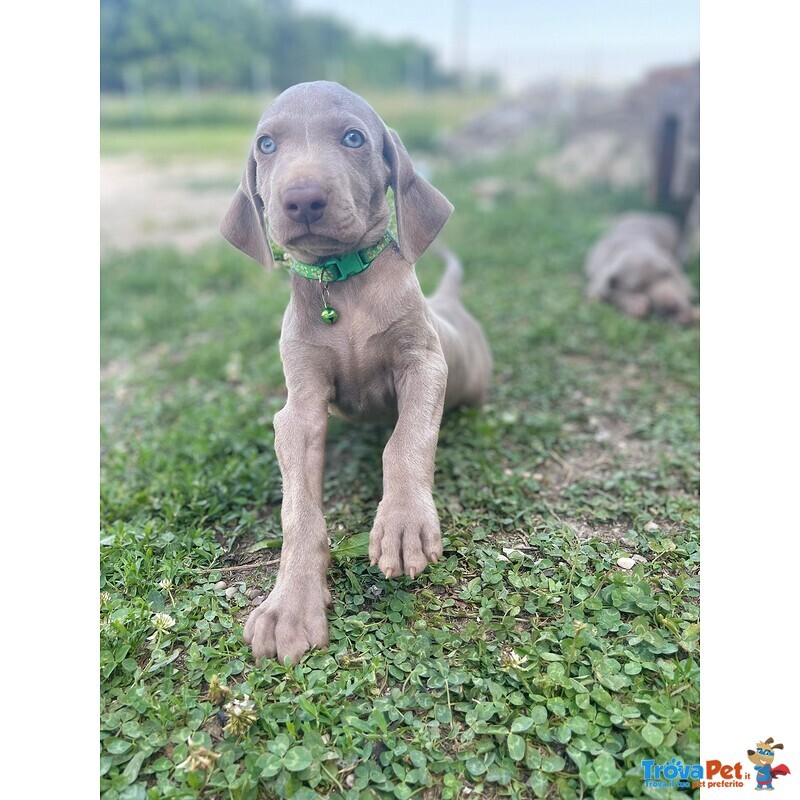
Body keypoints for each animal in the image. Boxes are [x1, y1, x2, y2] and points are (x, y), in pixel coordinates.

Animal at [220, 81, 494, 664]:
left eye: (353, 138)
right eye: (266, 144)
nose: (302, 198)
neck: (340, 284)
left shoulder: (423, 364)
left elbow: (406, 440)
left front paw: (403, 521)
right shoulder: (298, 409)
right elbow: (298, 512)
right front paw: (289, 606)